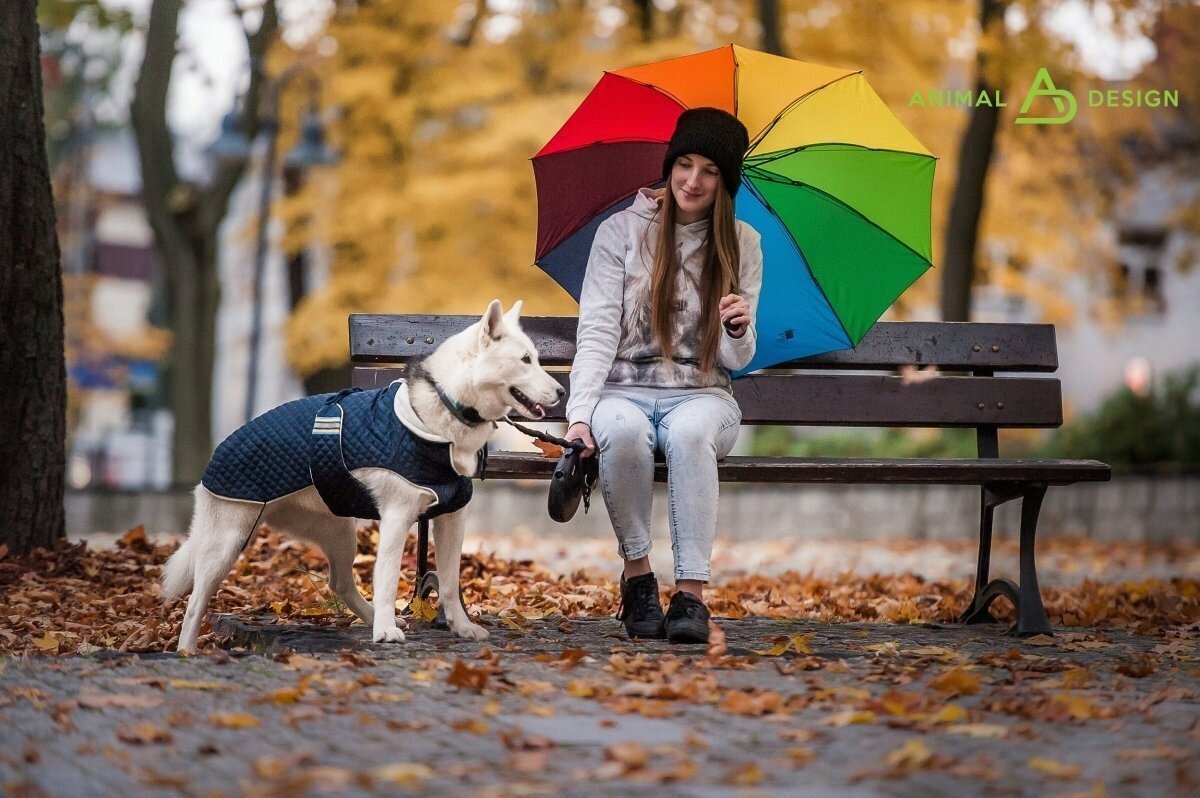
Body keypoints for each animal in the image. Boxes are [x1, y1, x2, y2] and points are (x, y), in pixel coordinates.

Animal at [160, 298, 566, 652]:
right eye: (525, 360)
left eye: (537, 358)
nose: (562, 391)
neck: (443, 410)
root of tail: (216, 456)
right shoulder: (398, 517)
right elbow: (386, 579)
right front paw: (385, 632)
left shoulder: (451, 517)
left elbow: (450, 582)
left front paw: (461, 627)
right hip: (226, 542)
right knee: (195, 604)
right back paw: (187, 652)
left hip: (339, 531)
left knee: (340, 583)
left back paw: (370, 617)